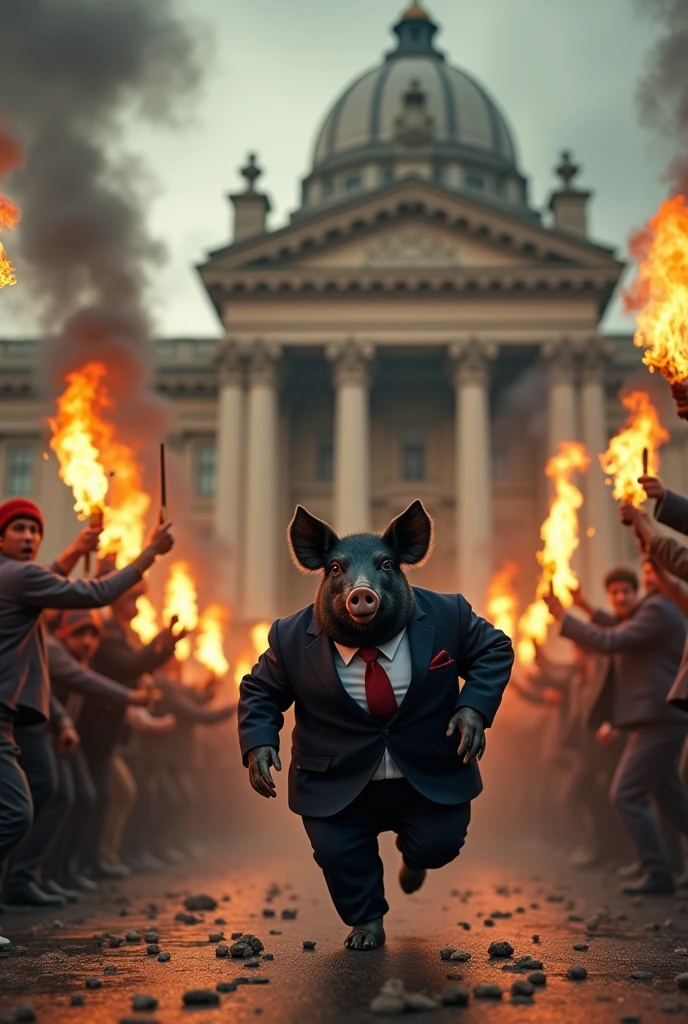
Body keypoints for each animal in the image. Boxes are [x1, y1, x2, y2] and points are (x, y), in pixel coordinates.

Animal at [239, 501, 513, 950]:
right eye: (335, 568)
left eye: (386, 563)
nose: (361, 592)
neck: (368, 644)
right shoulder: (281, 647)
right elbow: (259, 689)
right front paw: (263, 772)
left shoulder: (461, 618)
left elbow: (493, 649)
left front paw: (465, 731)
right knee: (344, 854)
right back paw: (364, 937)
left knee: (428, 842)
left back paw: (409, 877)